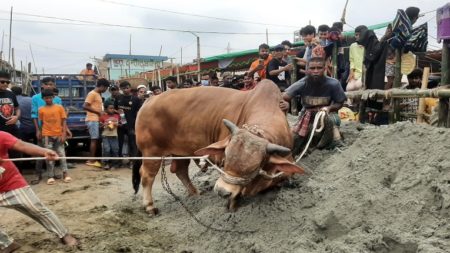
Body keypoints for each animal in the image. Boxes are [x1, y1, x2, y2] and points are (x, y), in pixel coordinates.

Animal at [135, 79, 304, 213]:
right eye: (224, 160)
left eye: (254, 168)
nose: (222, 191)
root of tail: (149, 100)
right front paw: (232, 209)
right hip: (151, 151)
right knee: (147, 175)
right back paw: (150, 206)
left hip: (180, 152)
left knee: (180, 170)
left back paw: (195, 193)